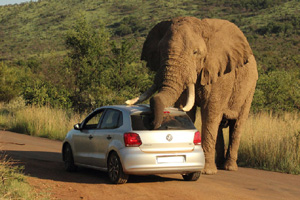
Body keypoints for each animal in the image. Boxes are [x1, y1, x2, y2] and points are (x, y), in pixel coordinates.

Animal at [125, 16, 258, 174]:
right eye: (160, 51)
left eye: (195, 52)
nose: (151, 123)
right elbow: (188, 110)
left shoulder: (220, 75)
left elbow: (210, 113)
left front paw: (206, 171)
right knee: (219, 124)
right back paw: (219, 165)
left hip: (250, 89)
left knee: (236, 124)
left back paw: (229, 167)